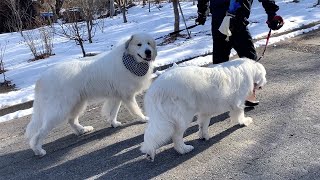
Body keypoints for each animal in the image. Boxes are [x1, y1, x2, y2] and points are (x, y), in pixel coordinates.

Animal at [26, 33, 158, 157]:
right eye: (139, 44)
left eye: (149, 43)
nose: (148, 51)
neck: (128, 60)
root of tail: (41, 78)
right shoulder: (127, 96)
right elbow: (135, 109)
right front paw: (143, 118)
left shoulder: (117, 96)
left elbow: (113, 112)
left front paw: (114, 123)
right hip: (60, 110)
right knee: (40, 132)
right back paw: (38, 150)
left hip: (77, 103)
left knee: (71, 120)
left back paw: (82, 130)